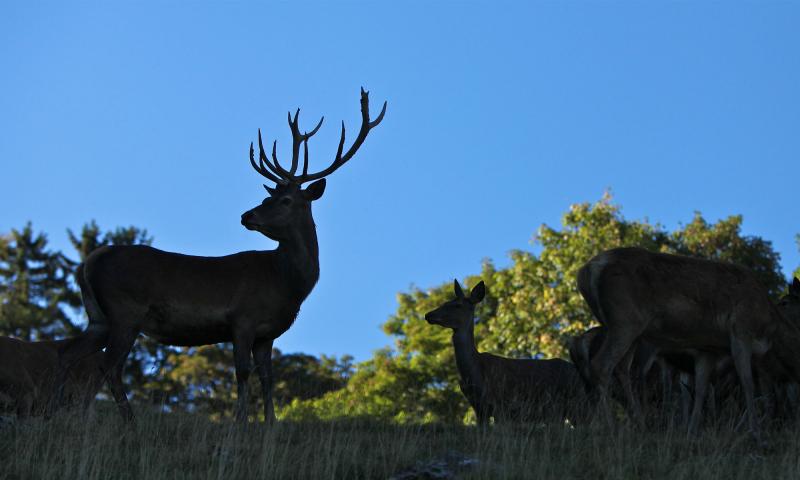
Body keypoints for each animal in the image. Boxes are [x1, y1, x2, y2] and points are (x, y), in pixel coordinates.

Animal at [422, 282, 584, 424]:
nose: (428, 315)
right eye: (446, 302)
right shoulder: (478, 407)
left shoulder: (500, 403)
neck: (474, 371)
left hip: (574, 403)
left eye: (457, 305)